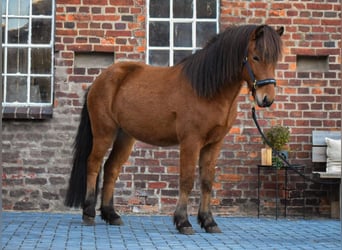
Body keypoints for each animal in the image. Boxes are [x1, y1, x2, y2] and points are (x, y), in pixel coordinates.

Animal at [65, 23, 284, 234]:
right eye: (256, 57)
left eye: (275, 60)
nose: (267, 99)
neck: (207, 90)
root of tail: (99, 81)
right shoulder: (191, 141)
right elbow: (186, 180)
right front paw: (183, 222)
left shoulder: (214, 143)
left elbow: (207, 181)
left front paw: (209, 222)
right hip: (104, 132)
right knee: (93, 164)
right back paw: (89, 213)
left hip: (125, 136)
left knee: (111, 168)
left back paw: (111, 215)